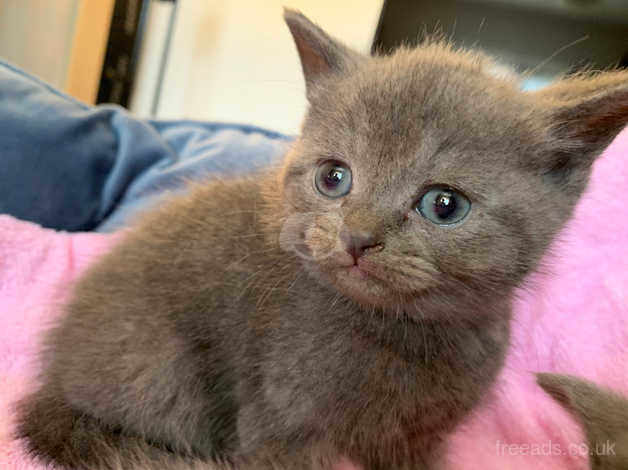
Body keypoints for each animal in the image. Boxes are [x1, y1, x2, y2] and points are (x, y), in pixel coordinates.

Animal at [14, 9, 628, 470]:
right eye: (334, 177)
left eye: (444, 204)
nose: (358, 236)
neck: (404, 336)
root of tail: (53, 384)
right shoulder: (279, 426)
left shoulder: (418, 441)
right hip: (163, 373)